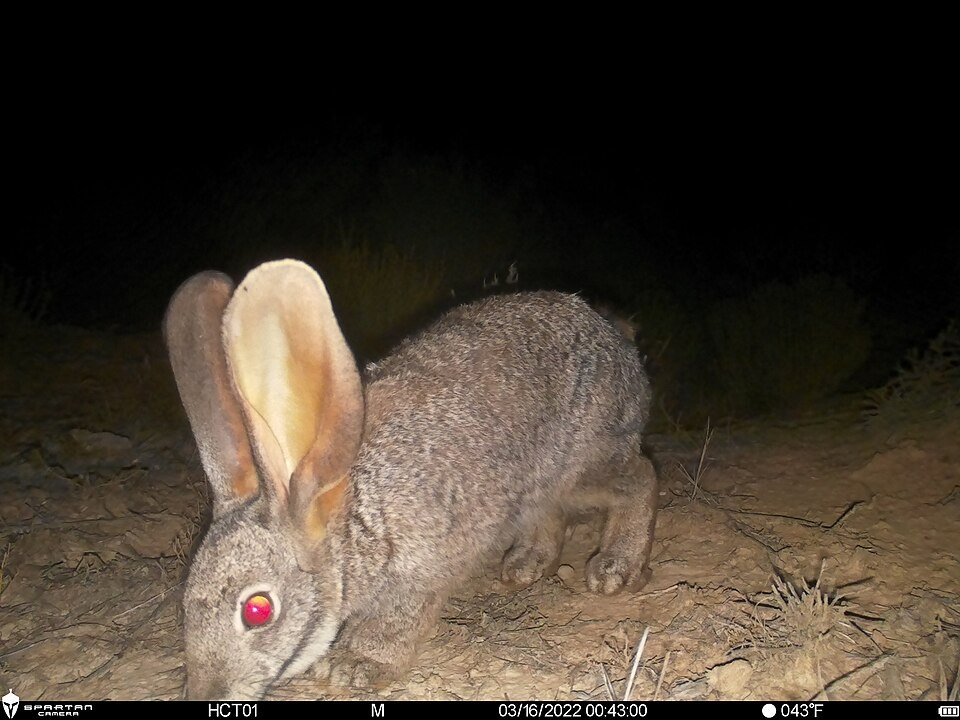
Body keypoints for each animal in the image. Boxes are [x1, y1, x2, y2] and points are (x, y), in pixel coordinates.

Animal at [163, 259, 659, 700]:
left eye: (257, 610)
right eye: (184, 600)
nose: (207, 694)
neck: (353, 524)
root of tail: (614, 334)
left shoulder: (421, 571)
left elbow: (396, 622)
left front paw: (355, 665)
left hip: (582, 463)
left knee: (641, 476)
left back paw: (613, 569)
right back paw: (526, 565)